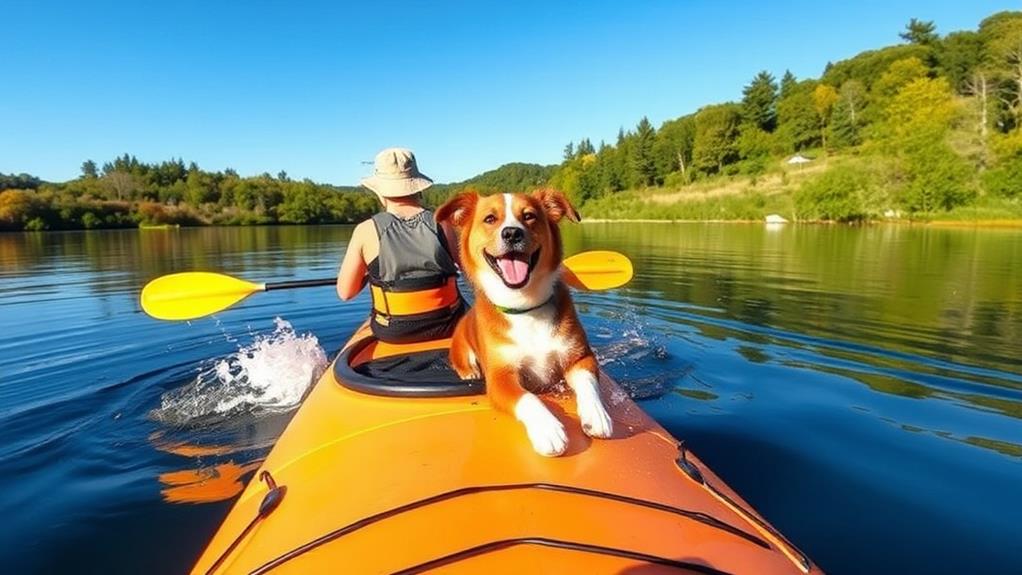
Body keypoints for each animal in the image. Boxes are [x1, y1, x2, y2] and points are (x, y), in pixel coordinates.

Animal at [433, 190, 609, 457]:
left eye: (529, 216)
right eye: (490, 218)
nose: (512, 233)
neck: (525, 307)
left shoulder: (581, 357)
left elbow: (588, 383)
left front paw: (596, 414)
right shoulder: (500, 378)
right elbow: (527, 398)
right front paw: (548, 429)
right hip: (461, 347)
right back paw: (469, 371)